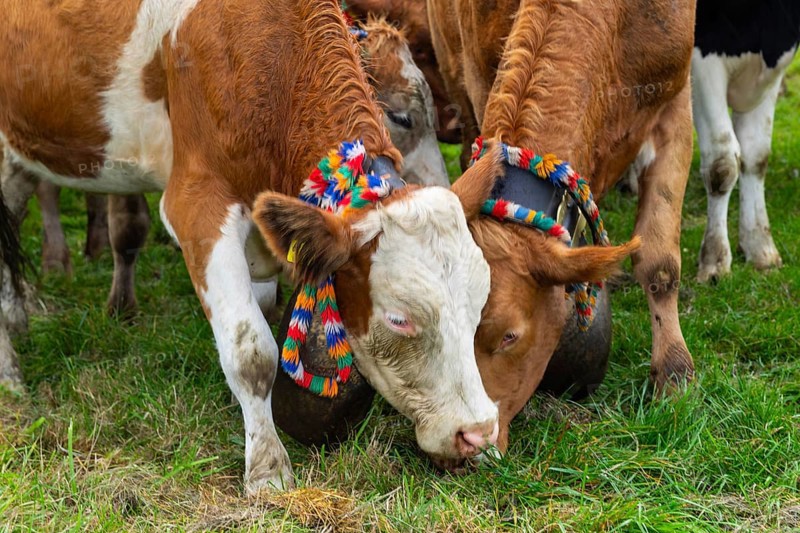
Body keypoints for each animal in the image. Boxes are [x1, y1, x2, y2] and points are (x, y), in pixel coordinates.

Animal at [0, 0, 500, 493]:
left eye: (480, 305)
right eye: (399, 319)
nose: (477, 431)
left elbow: (257, 314)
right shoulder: (197, 206)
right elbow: (251, 351)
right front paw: (267, 470)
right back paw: (11, 376)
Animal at [427, 0, 696, 453]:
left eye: (509, 336)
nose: (462, 441)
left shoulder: (675, 103)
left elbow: (660, 262)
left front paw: (675, 372)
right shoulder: (478, 75)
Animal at [692, 0, 800, 282]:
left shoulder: (774, 61)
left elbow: (756, 155)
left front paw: (759, 245)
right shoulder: (701, 57)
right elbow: (722, 162)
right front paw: (715, 260)